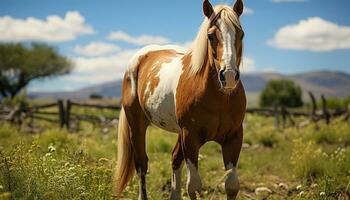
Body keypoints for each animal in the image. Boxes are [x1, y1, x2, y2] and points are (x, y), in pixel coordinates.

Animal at [115, 0, 246, 199]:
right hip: (137, 126)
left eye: (241, 34)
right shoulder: (190, 137)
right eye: (210, 36)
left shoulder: (234, 137)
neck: (219, 99)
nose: (229, 76)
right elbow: (194, 186)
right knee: (141, 165)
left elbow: (231, 185)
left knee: (175, 158)